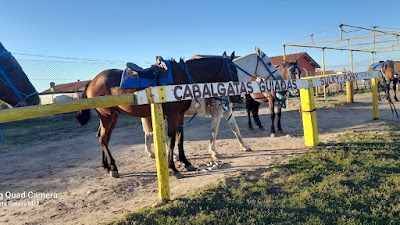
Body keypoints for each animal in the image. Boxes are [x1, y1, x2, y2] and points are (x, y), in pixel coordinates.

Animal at [75, 51, 238, 178]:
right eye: (233, 70)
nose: (236, 97)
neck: (182, 78)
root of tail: (92, 81)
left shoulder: (180, 116)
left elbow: (180, 139)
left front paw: (186, 163)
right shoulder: (173, 116)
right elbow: (171, 141)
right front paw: (174, 168)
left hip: (112, 116)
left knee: (103, 138)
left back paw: (107, 166)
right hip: (107, 116)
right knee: (103, 138)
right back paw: (114, 168)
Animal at [141, 47, 284, 160]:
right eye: (268, 63)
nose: (279, 79)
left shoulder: (227, 110)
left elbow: (235, 128)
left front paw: (244, 146)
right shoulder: (218, 111)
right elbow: (214, 130)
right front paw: (213, 152)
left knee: (149, 134)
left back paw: (152, 153)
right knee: (153, 134)